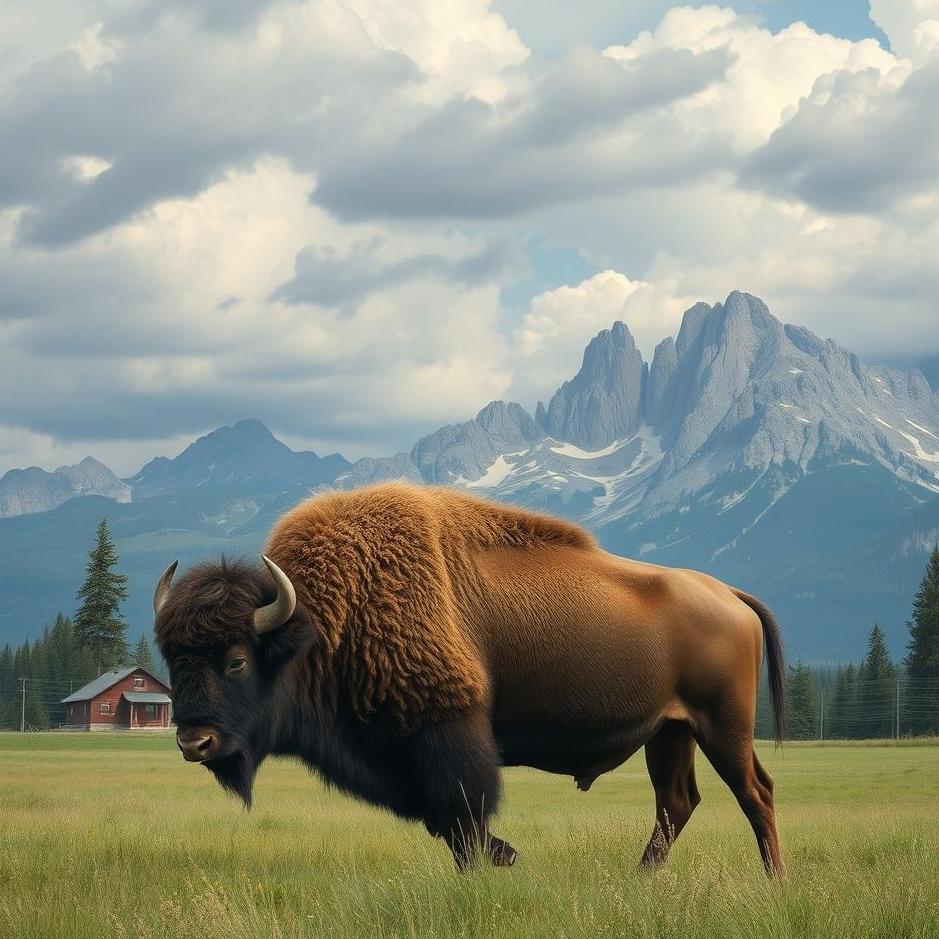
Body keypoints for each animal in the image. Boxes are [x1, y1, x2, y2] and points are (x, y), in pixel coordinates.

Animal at [154, 482, 785, 875]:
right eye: (172, 658)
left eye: (237, 659)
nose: (193, 742)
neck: (322, 619)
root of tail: (730, 594)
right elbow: (443, 819)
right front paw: (504, 856)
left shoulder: (447, 729)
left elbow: (463, 816)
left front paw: (496, 862)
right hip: (670, 732)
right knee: (677, 802)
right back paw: (642, 878)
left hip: (722, 727)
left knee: (755, 793)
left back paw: (774, 882)